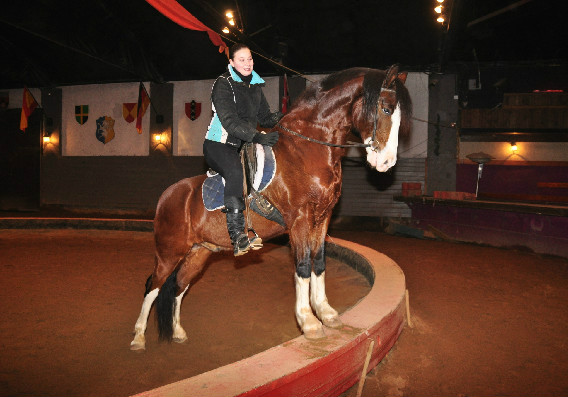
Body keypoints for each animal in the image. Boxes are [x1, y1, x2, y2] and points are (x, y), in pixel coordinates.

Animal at [130, 65, 410, 350]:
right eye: (386, 109)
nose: (386, 162)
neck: (309, 148)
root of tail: (167, 196)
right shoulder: (300, 219)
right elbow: (303, 266)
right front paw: (309, 322)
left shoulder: (322, 218)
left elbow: (319, 263)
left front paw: (327, 313)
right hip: (169, 252)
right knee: (153, 286)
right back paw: (139, 337)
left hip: (199, 252)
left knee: (178, 287)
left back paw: (177, 332)